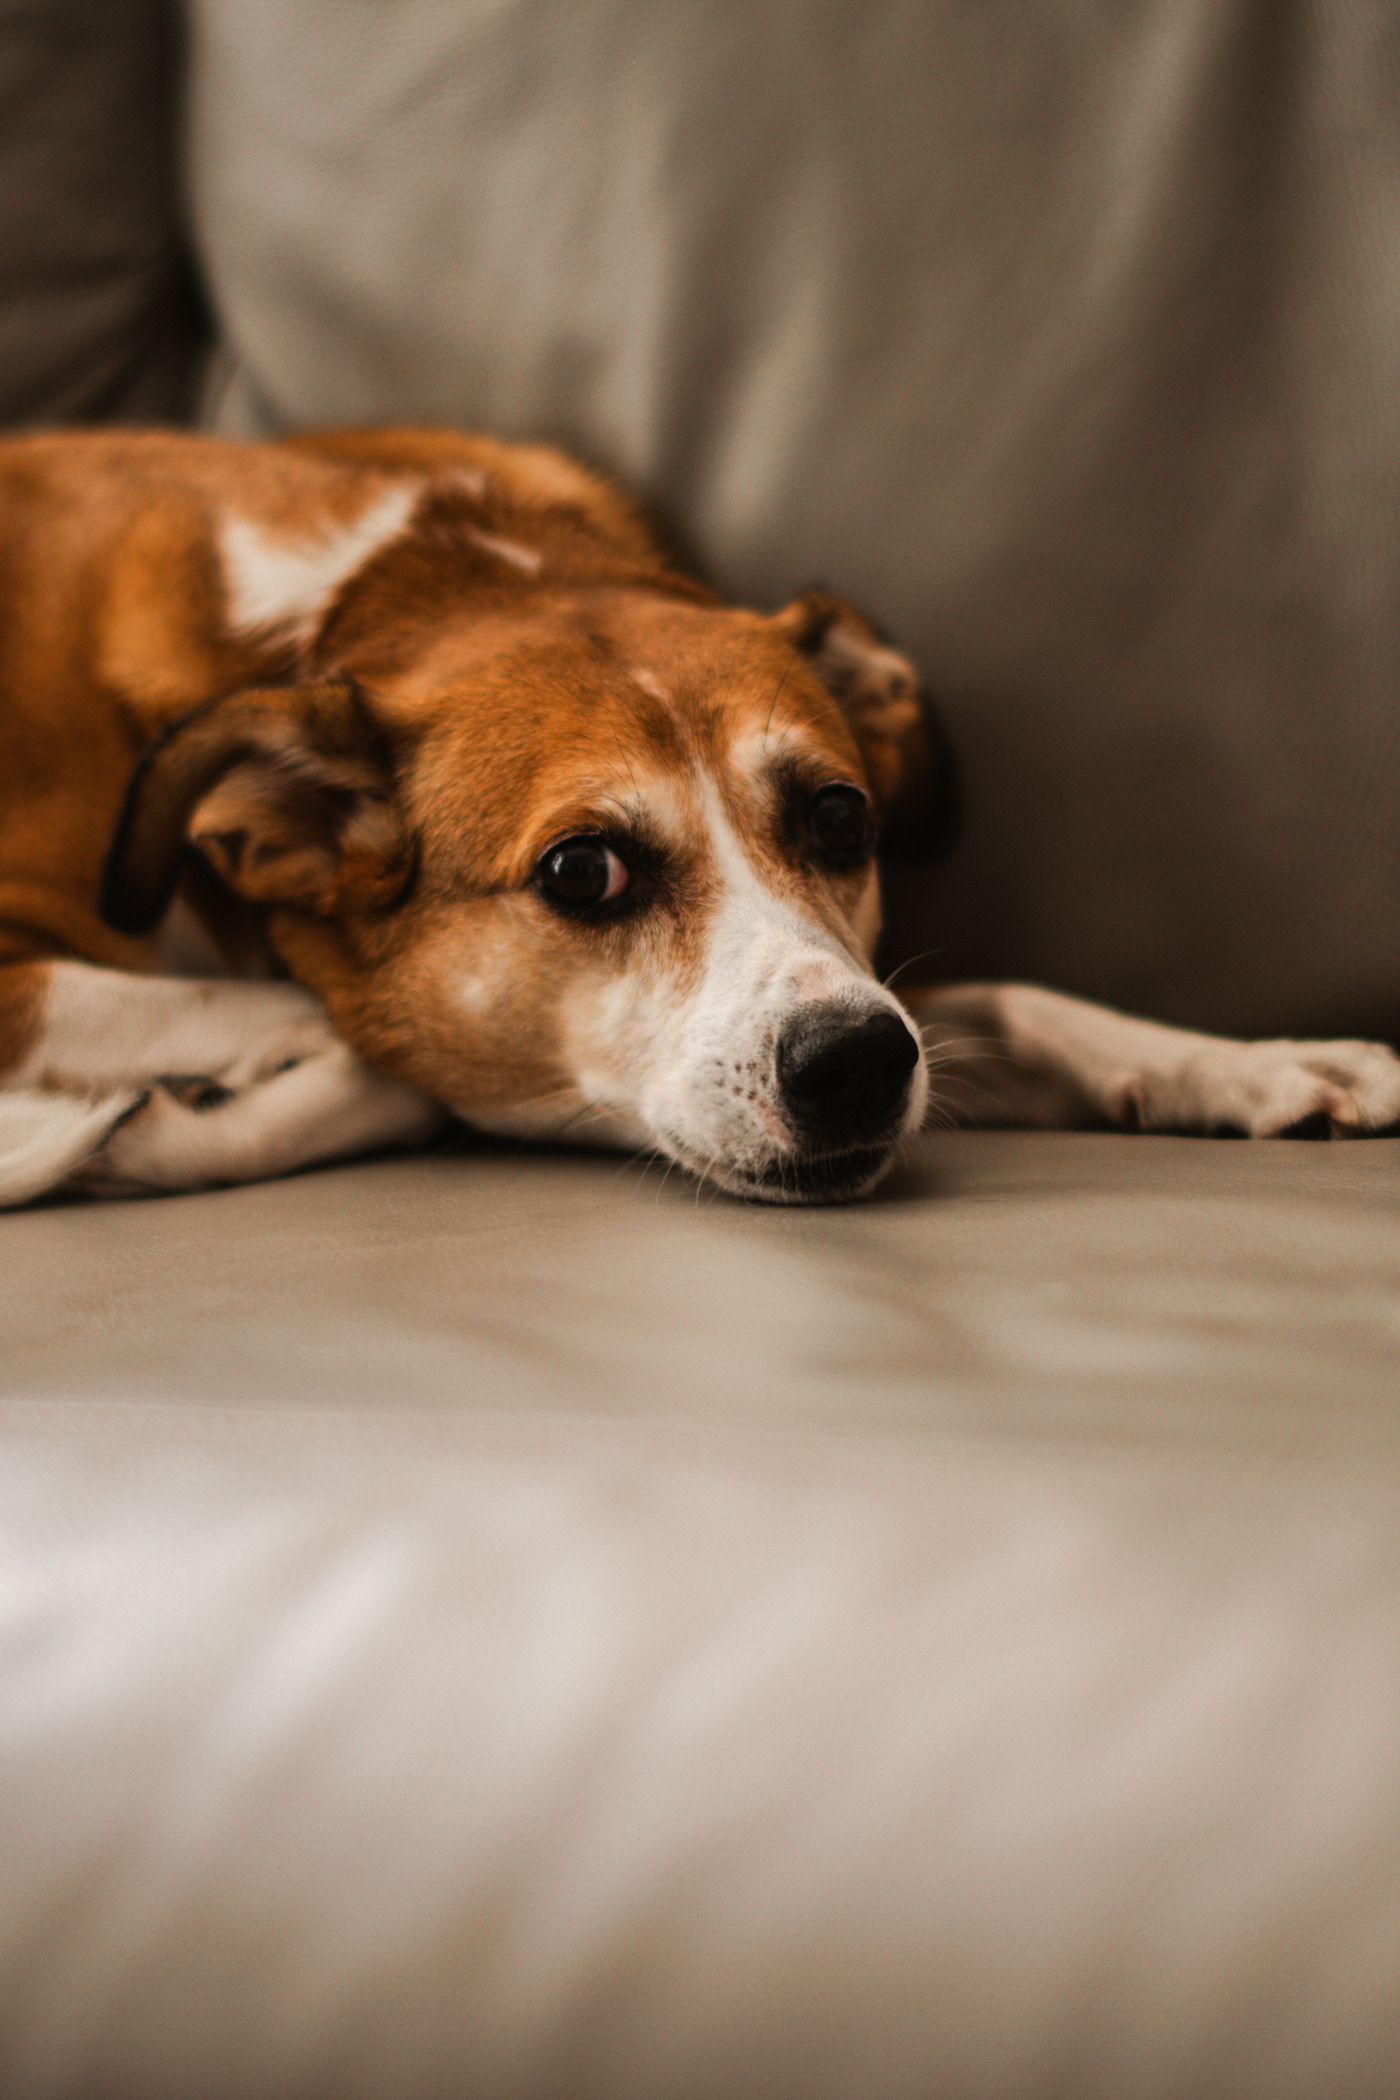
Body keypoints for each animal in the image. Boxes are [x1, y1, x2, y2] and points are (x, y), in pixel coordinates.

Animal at [1, 424, 1397, 1210]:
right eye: (581, 872)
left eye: (839, 819)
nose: (857, 1065)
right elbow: (364, 1050)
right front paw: (157, 1125)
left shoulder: (865, 977)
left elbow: (1008, 1003)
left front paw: (1254, 1062)